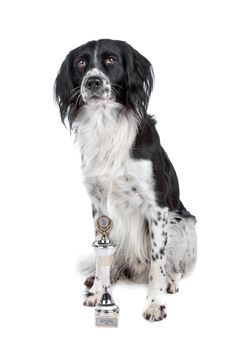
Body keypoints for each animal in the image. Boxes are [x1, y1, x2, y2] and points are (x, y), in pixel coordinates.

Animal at [54, 39, 197, 322]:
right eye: (81, 62)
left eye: (110, 59)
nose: (93, 82)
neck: (106, 125)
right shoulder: (99, 205)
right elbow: (101, 258)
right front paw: (99, 291)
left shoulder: (157, 208)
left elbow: (158, 262)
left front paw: (154, 303)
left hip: (184, 223)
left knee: (173, 265)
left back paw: (171, 281)